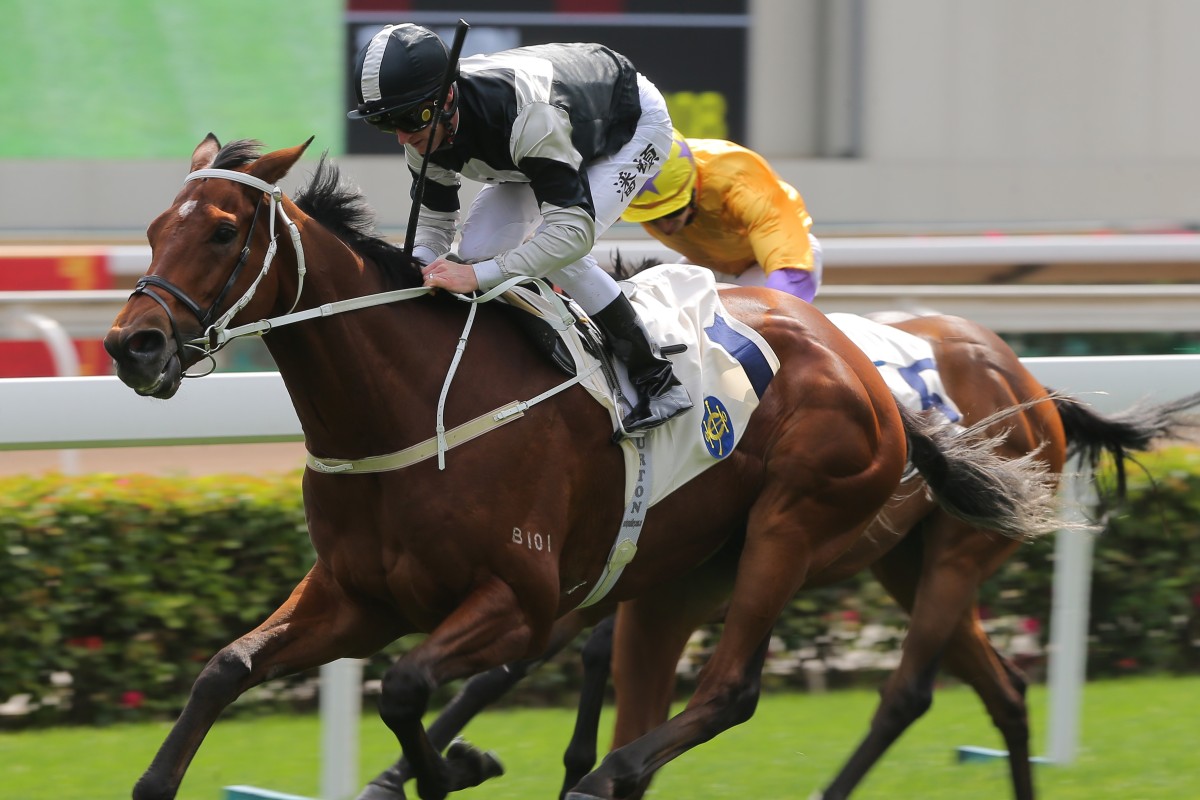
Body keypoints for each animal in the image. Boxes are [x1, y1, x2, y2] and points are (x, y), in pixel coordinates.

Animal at [105, 134, 1060, 796]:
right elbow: (227, 668)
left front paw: (457, 766)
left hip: (800, 528)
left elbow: (408, 686)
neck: (413, 405)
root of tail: (865, 370)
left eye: (223, 232)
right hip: (700, 573)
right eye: (151, 230)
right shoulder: (357, 598)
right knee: (993, 690)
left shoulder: (521, 601)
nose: (130, 345)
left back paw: (605, 774)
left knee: (739, 691)